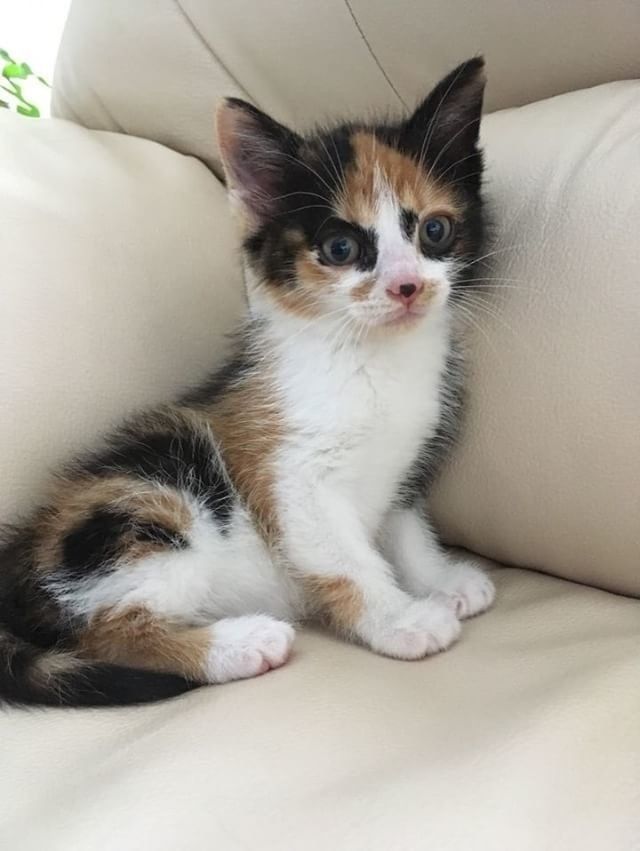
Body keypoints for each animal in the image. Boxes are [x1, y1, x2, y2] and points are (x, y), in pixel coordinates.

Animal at [0, 57, 495, 707]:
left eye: (434, 232)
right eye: (341, 247)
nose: (407, 286)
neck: (369, 357)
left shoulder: (407, 459)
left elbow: (404, 527)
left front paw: (439, 579)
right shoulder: (290, 471)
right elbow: (342, 557)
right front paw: (400, 620)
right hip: (153, 494)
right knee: (107, 631)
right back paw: (239, 645)